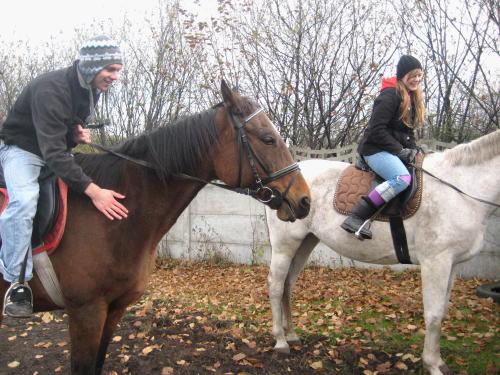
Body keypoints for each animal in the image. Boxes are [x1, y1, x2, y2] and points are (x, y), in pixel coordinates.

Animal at [266, 130, 500, 375]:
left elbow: (443, 311)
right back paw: (280, 341)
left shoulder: (452, 264)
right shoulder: (436, 262)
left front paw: (438, 362)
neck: (460, 188)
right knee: (276, 285)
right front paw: (432, 364)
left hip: (306, 243)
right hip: (284, 245)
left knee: (287, 285)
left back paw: (292, 335)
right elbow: (434, 315)